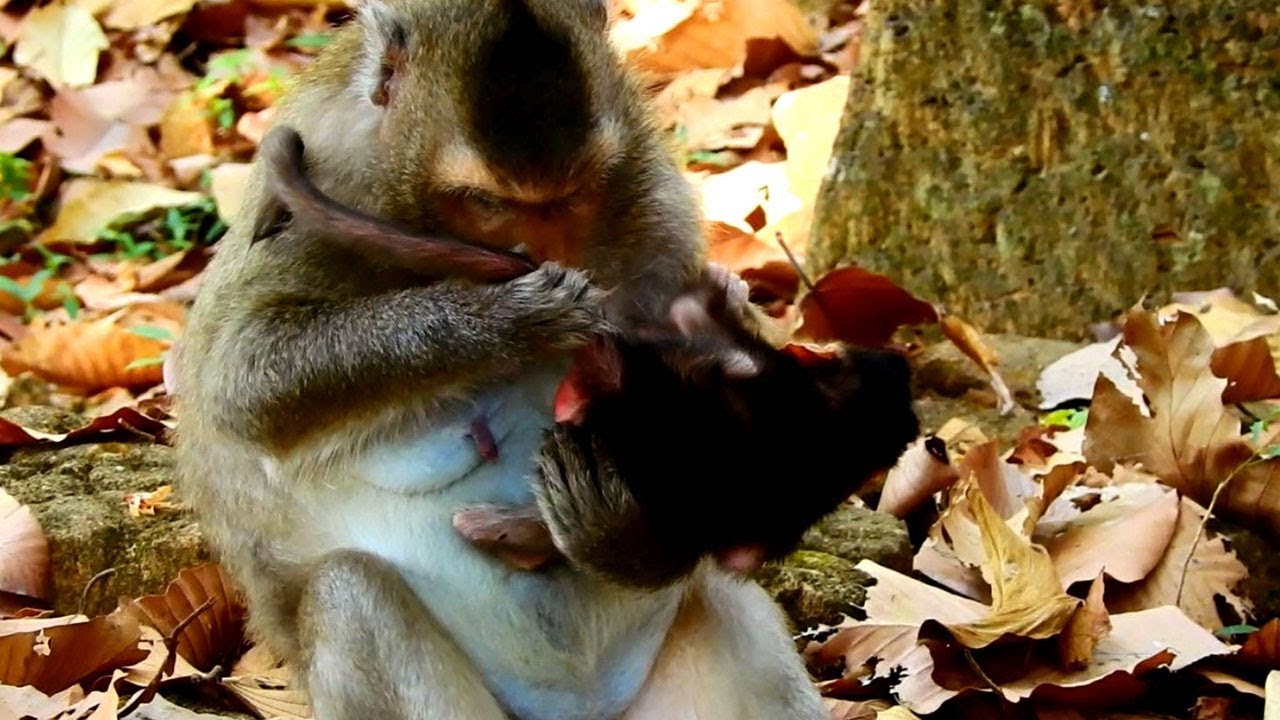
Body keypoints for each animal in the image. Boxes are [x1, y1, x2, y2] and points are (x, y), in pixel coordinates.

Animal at [172, 1, 834, 718]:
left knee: (726, 593)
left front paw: (624, 531)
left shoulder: (655, 202)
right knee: (350, 595)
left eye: (572, 195)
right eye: (487, 202)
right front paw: (509, 318)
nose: (537, 255)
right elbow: (241, 379)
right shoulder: (320, 176)